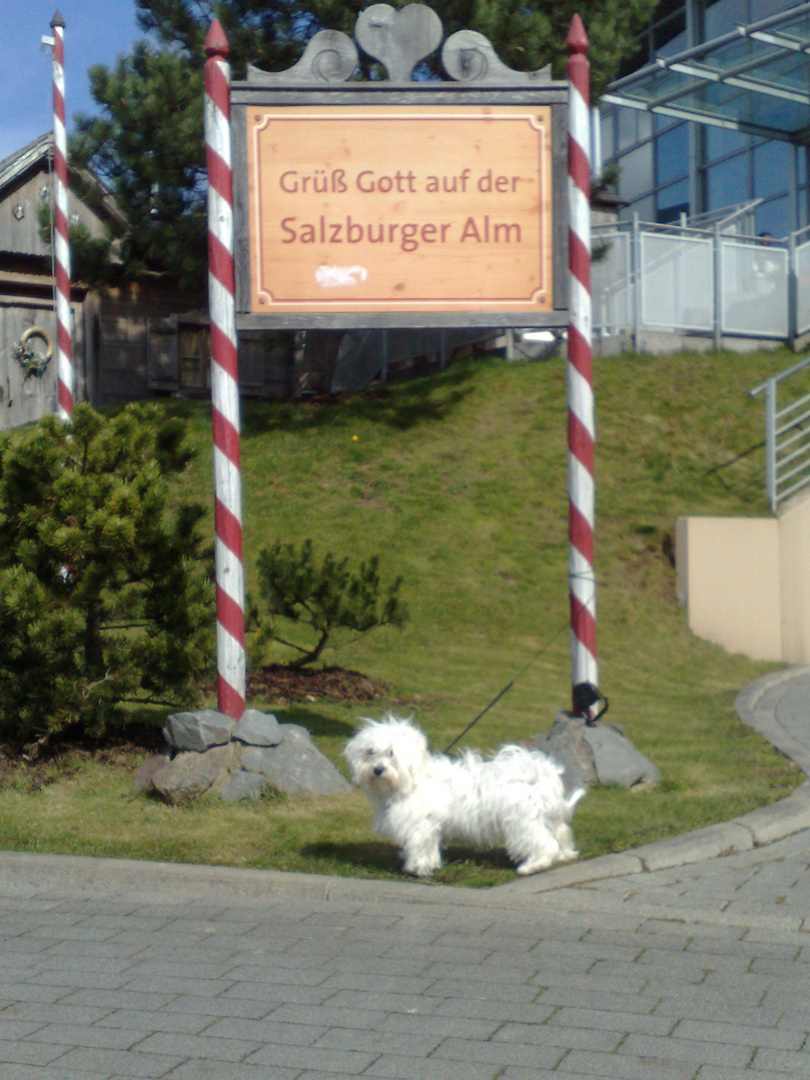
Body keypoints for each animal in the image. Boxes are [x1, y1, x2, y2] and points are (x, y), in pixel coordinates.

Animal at [343, 717, 583, 876]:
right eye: (370, 752)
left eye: (391, 754)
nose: (378, 769)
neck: (409, 781)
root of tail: (537, 777)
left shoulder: (421, 825)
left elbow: (420, 845)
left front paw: (417, 868)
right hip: (546, 818)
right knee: (560, 834)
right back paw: (565, 854)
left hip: (521, 823)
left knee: (544, 844)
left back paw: (531, 866)